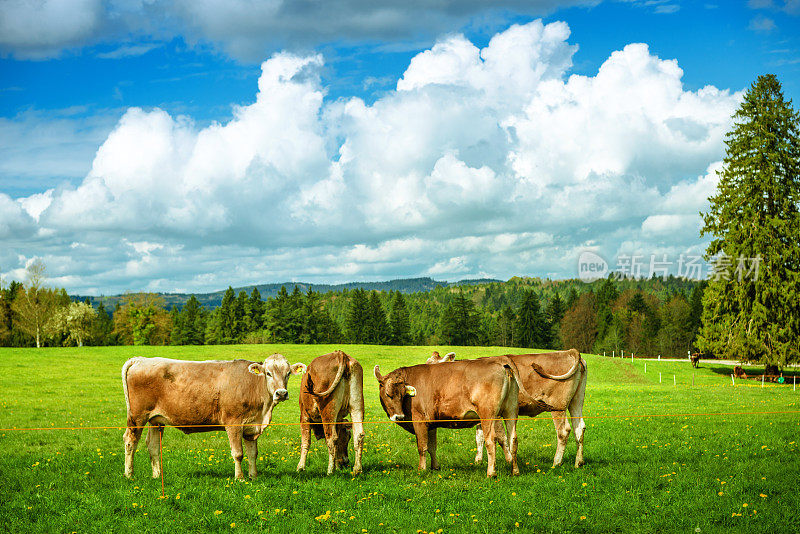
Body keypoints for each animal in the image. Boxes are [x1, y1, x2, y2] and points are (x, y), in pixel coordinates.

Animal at [122, 356, 306, 482]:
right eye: (268, 373)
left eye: (288, 374)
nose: (281, 393)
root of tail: (141, 359)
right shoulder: (233, 423)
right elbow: (238, 453)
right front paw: (240, 478)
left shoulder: (251, 427)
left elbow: (253, 454)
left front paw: (253, 476)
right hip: (137, 417)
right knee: (130, 441)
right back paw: (129, 474)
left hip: (156, 420)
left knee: (152, 446)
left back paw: (156, 475)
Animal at [432, 352, 588, 468]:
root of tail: (568, 352)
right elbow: (480, 437)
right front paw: (478, 460)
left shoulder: (494, 414)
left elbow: (500, 437)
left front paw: (508, 459)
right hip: (576, 401)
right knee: (579, 428)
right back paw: (578, 462)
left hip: (558, 406)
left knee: (563, 431)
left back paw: (556, 463)